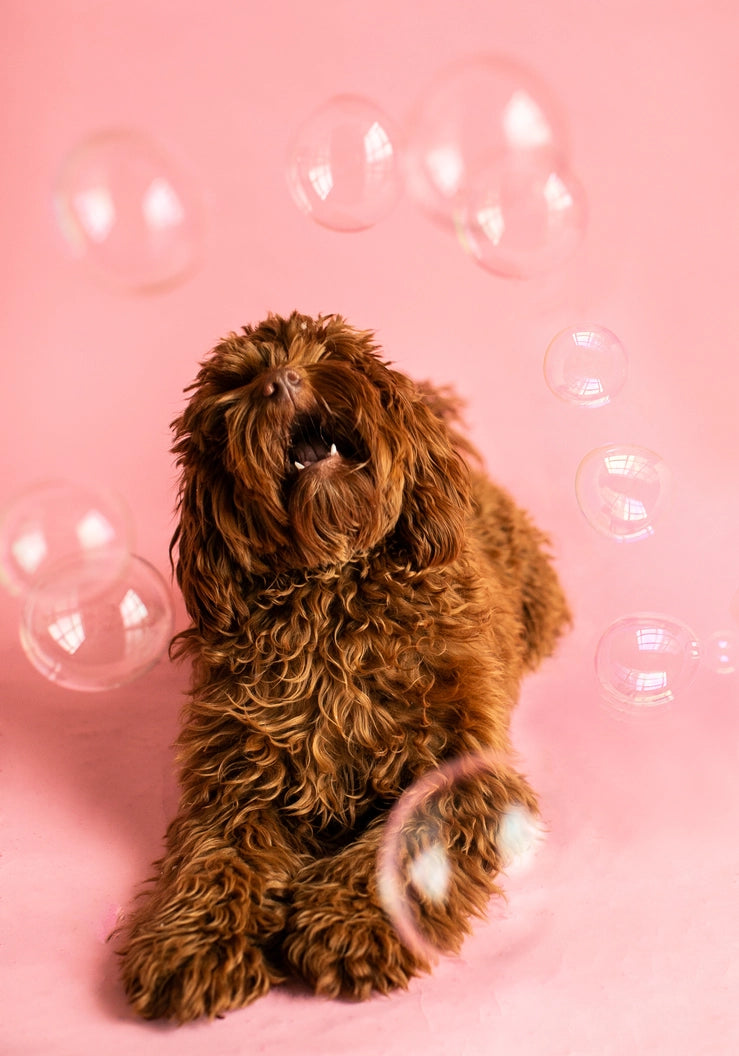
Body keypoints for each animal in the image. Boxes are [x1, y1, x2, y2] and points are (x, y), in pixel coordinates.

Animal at [116, 312, 570, 1022]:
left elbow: (411, 841)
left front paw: (351, 924)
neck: (331, 595)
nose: (279, 381)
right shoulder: (237, 780)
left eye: (327, 352)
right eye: (235, 386)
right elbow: (212, 855)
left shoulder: (462, 774)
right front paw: (190, 945)